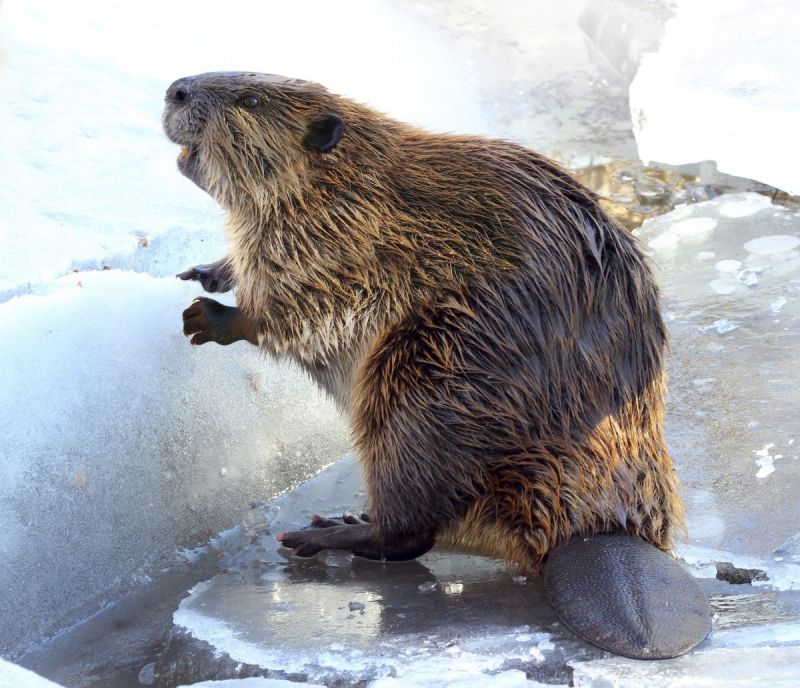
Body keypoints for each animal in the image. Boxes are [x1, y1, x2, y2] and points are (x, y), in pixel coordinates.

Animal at [166, 72, 708, 660]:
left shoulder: (341, 239)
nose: (174, 90)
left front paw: (209, 317)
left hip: (420, 383)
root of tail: (602, 536)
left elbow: (300, 307)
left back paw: (325, 532)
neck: (345, 182)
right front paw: (204, 271)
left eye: (250, 99)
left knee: (409, 533)